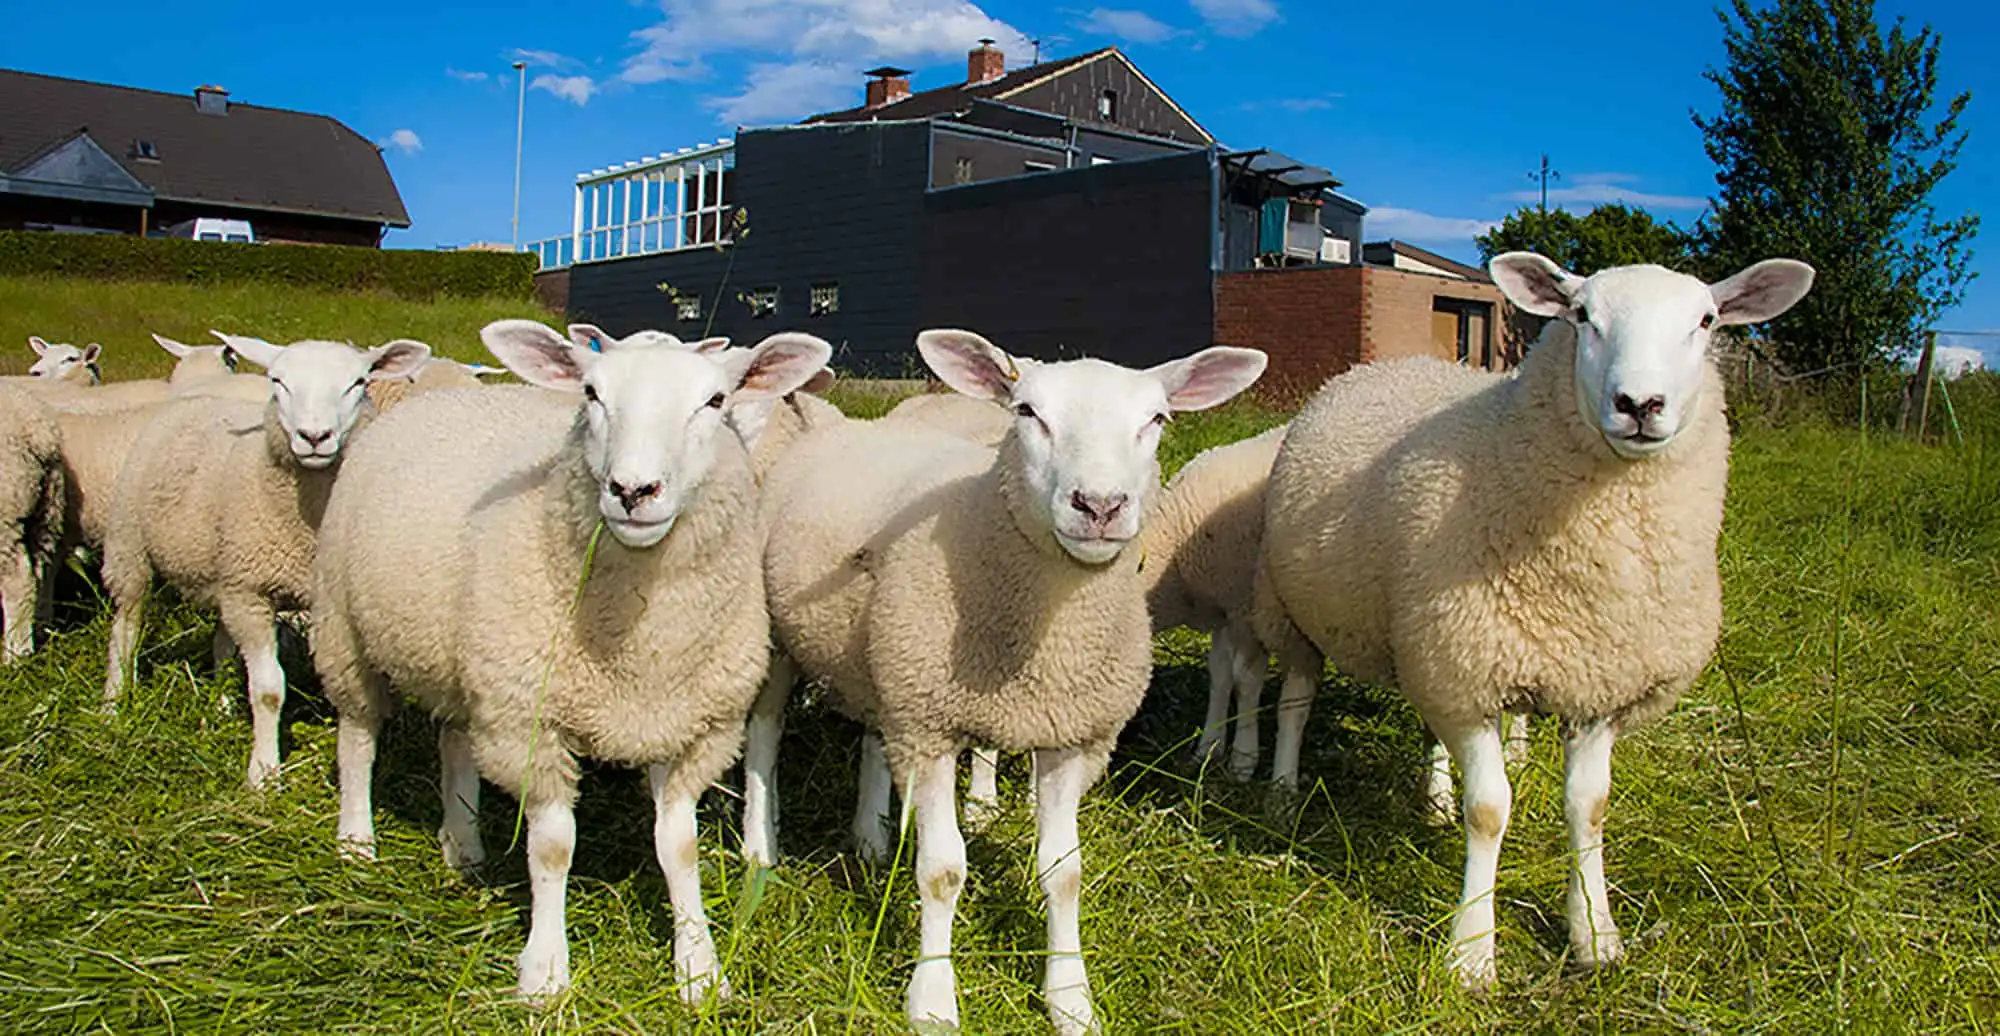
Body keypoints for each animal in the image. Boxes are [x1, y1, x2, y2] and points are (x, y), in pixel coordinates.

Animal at [100, 333, 432, 788]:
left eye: (359, 382)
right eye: (278, 381)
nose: (315, 436)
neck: (307, 519)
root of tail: (196, 396)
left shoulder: (299, 595)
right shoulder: (252, 590)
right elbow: (270, 689)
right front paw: (263, 772)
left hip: (223, 575)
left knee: (222, 642)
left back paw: (221, 704)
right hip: (129, 544)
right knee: (126, 625)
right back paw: (113, 704)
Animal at [310, 319, 830, 1001]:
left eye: (715, 401)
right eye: (591, 393)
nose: (633, 490)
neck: (639, 640)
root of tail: (446, 394)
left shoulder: (691, 727)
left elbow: (679, 847)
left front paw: (699, 966)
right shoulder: (531, 726)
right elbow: (553, 848)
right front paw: (545, 973)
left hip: (470, 666)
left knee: (454, 739)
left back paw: (463, 843)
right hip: (345, 629)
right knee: (358, 736)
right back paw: (355, 842)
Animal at [755, 329, 1266, 1033]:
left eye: (1157, 420)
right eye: (1026, 411)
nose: (1100, 506)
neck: (1048, 642)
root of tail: (843, 427)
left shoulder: (1069, 738)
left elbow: (1064, 871)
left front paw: (1070, 998)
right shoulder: (933, 731)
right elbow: (942, 872)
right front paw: (932, 1000)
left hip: (883, 664)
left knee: (872, 736)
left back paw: (870, 838)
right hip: (784, 642)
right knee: (763, 734)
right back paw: (759, 849)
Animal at [1252, 253, 1815, 990]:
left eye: (1706, 320)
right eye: (1582, 315)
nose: (1640, 405)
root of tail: (1386, 363)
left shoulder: (1591, 685)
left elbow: (1589, 809)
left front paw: (1595, 934)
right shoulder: (1468, 682)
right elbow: (1490, 811)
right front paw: (1470, 952)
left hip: (1429, 644)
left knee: (1424, 723)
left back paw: (1433, 802)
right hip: (1300, 611)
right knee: (1295, 701)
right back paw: (1283, 793)